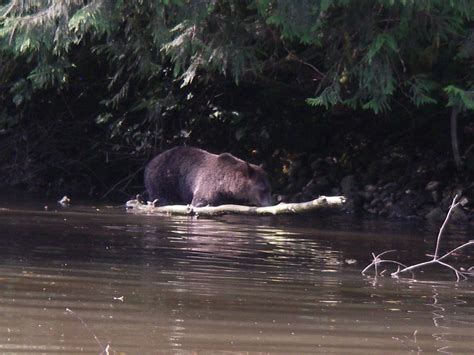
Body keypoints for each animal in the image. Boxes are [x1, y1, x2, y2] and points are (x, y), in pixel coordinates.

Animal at [143, 147, 272, 207]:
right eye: (263, 189)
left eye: (270, 188)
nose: (270, 203)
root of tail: (151, 162)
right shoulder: (209, 185)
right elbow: (200, 201)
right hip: (161, 178)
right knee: (160, 195)